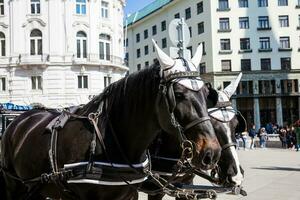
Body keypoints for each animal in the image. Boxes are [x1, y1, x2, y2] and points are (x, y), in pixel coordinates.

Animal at [0, 43, 221, 199]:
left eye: (205, 93)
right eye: (179, 94)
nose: (212, 152)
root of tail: (18, 120)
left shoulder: (132, 194)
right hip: (13, 185)